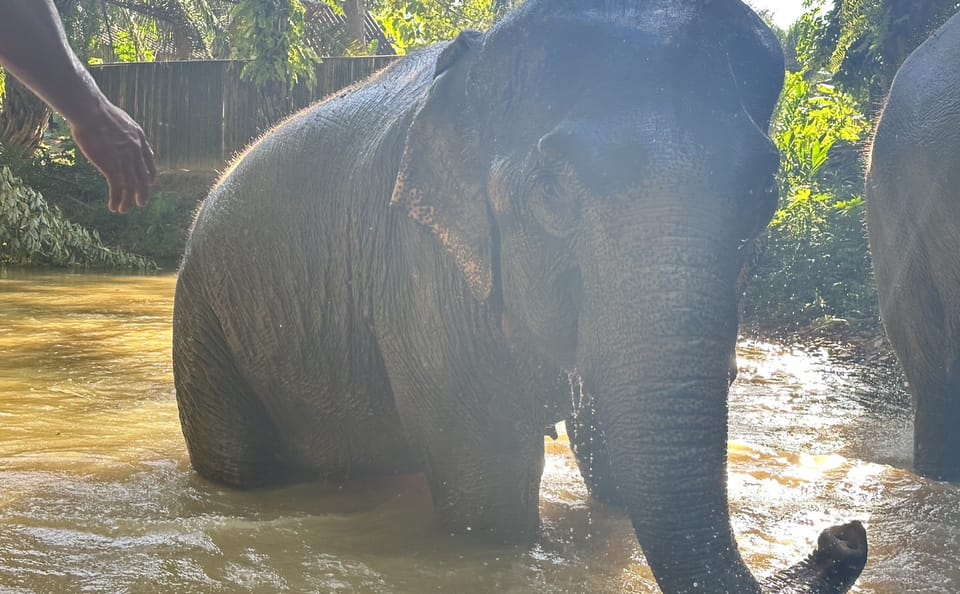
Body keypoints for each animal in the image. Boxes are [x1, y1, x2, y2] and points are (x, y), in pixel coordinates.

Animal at [172, 0, 868, 592]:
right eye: (551, 192)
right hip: (203, 317)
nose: (844, 532)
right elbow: (491, 496)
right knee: (238, 465)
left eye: (764, 196)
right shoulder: (423, 267)